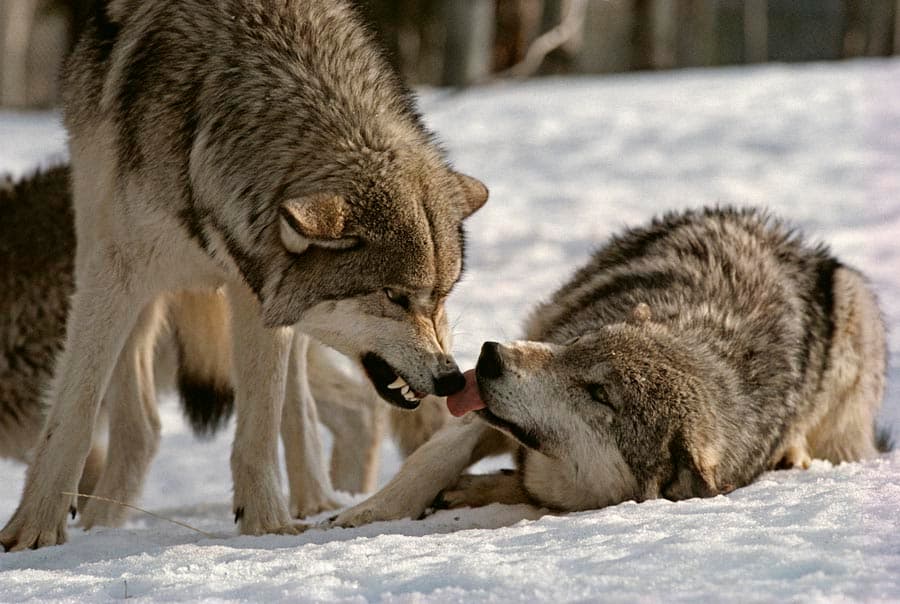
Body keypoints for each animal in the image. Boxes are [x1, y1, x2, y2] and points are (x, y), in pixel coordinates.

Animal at [2, 0, 486, 551]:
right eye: (393, 295)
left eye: (442, 296)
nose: (451, 377)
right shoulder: (111, 274)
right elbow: (74, 415)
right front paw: (33, 530)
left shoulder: (256, 293)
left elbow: (261, 424)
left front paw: (268, 525)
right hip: (133, 288)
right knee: (141, 425)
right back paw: (103, 526)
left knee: (305, 411)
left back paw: (317, 501)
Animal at [331, 207, 887, 527]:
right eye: (576, 345)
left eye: (600, 395)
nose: (491, 355)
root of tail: (789, 240)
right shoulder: (483, 409)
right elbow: (430, 459)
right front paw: (365, 515)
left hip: (854, 305)